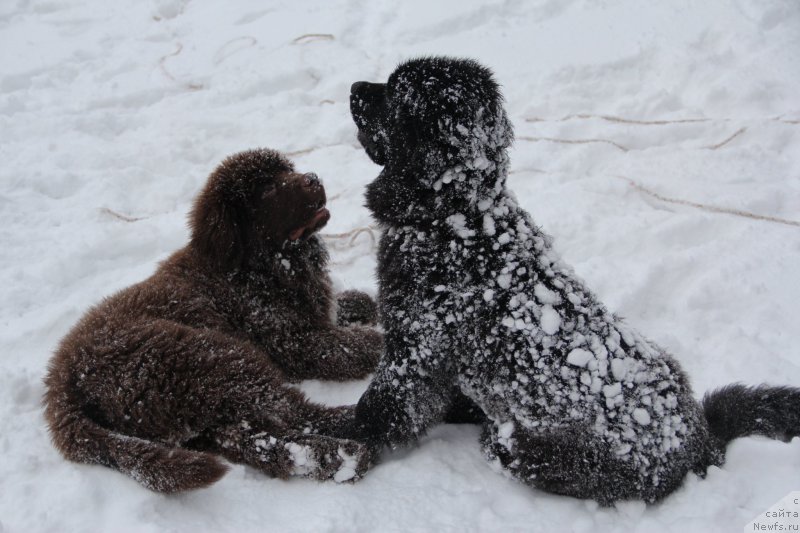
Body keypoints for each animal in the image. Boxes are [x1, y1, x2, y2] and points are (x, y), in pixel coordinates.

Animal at [43, 148, 384, 492]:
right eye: (267, 190)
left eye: (288, 169)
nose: (312, 178)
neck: (256, 267)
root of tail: (61, 382)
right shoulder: (298, 342)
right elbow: (363, 344)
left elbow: (353, 303)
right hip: (212, 356)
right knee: (292, 411)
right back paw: (361, 430)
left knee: (250, 438)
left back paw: (336, 457)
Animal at [348, 57, 800, 502]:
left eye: (394, 91)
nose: (353, 87)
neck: (458, 217)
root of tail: (700, 441)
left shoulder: (415, 350)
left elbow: (379, 408)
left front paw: (340, 434)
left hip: (525, 450)